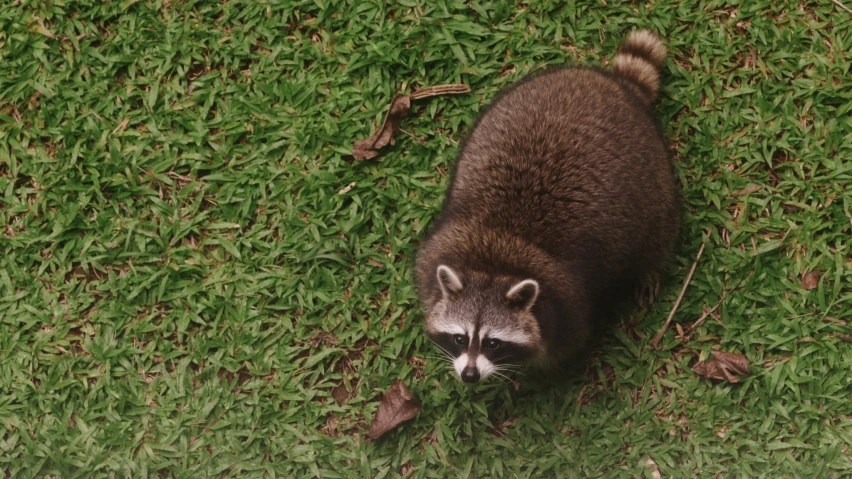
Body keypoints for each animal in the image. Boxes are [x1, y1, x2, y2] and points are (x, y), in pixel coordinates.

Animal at [412, 30, 680, 384]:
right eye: (459, 338)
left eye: (493, 343)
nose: (470, 375)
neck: (493, 261)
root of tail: (609, 83)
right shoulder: (434, 255)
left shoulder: (568, 307)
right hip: (513, 101)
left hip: (654, 172)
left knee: (659, 226)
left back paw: (650, 265)